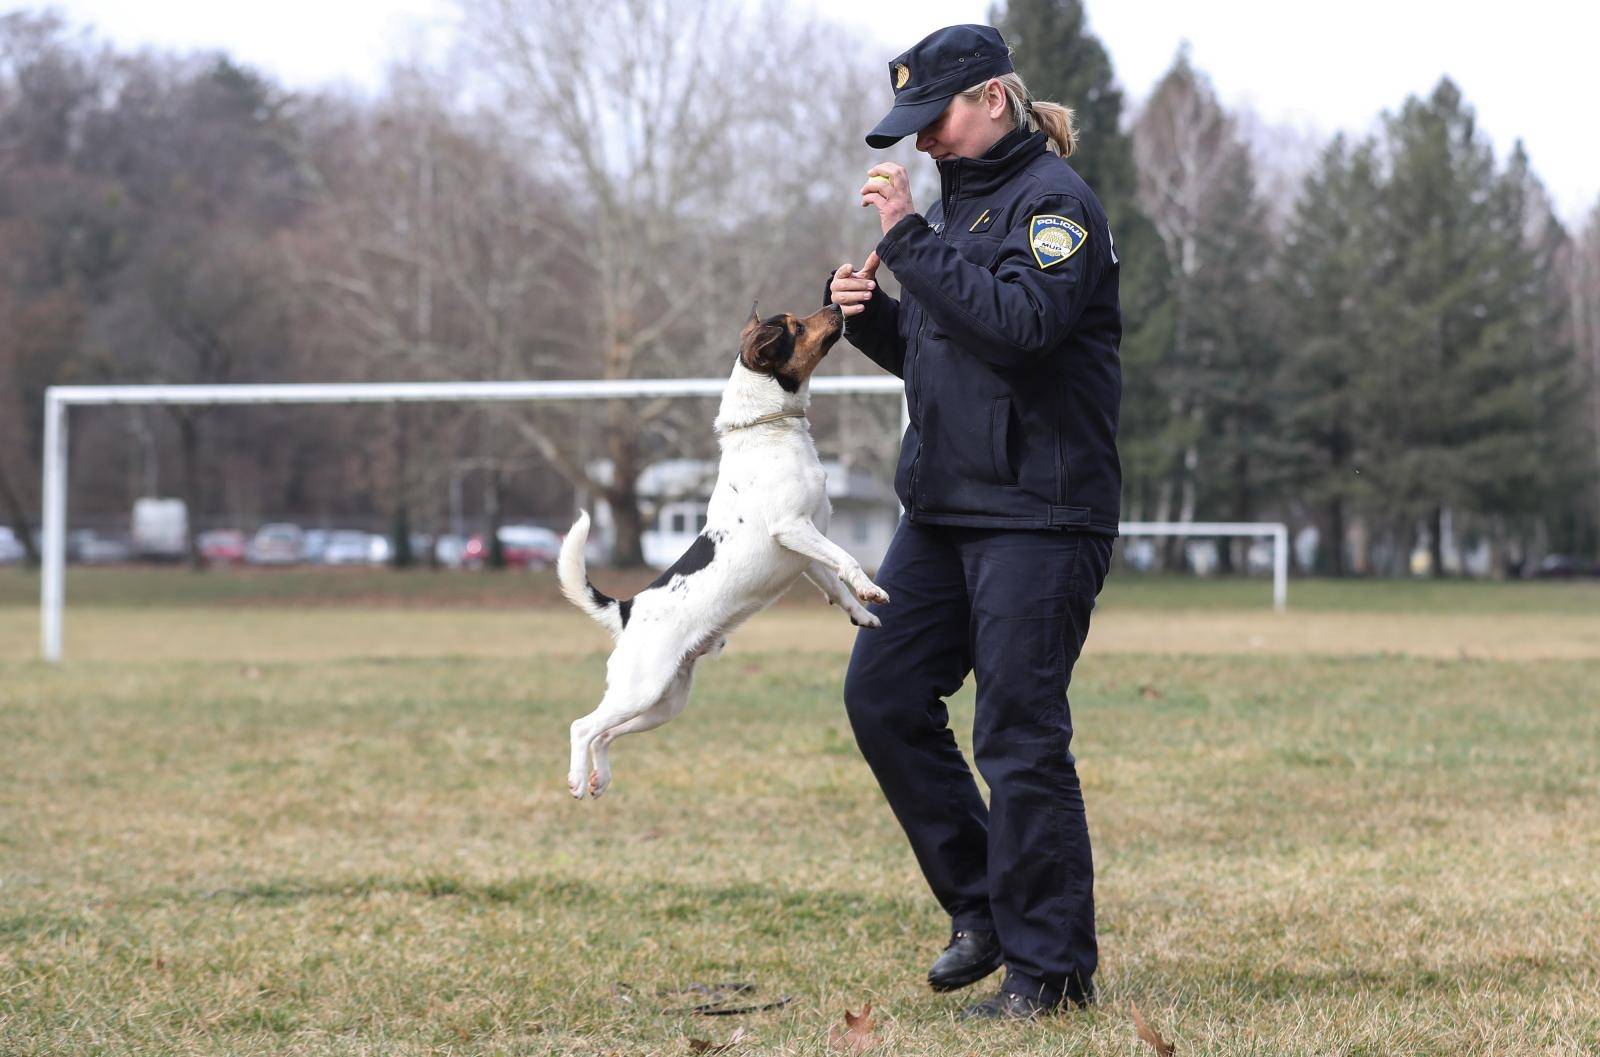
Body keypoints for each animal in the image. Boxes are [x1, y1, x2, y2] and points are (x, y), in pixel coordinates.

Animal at [560, 300, 889, 796]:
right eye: (796, 327)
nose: (836, 303)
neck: (768, 429)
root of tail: (626, 609)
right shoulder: (793, 529)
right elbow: (847, 561)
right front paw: (871, 590)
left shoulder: (806, 550)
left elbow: (836, 585)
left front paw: (862, 614)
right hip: (640, 689)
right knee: (583, 726)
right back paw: (579, 779)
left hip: (664, 702)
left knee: (606, 734)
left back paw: (601, 777)